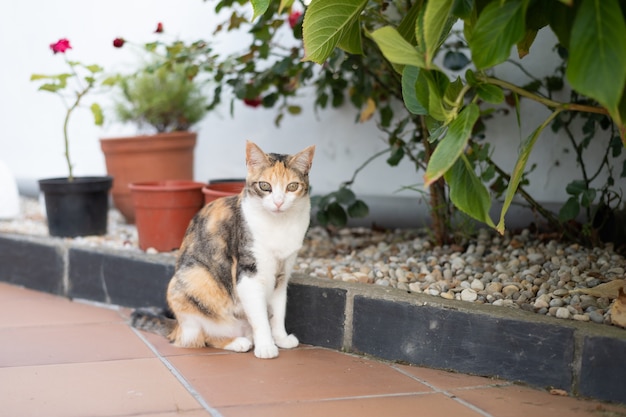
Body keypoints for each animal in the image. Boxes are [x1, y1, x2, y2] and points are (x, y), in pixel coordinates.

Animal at [133, 141, 316, 358]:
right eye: (265, 186)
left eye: (292, 186)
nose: (278, 202)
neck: (279, 225)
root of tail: (177, 325)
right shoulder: (248, 274)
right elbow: (261, 317)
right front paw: (266, 346)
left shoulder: (282, 274)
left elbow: (278, 311)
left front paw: (280, 338)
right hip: (191, 280)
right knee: (197, 337)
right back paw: (237, 342)